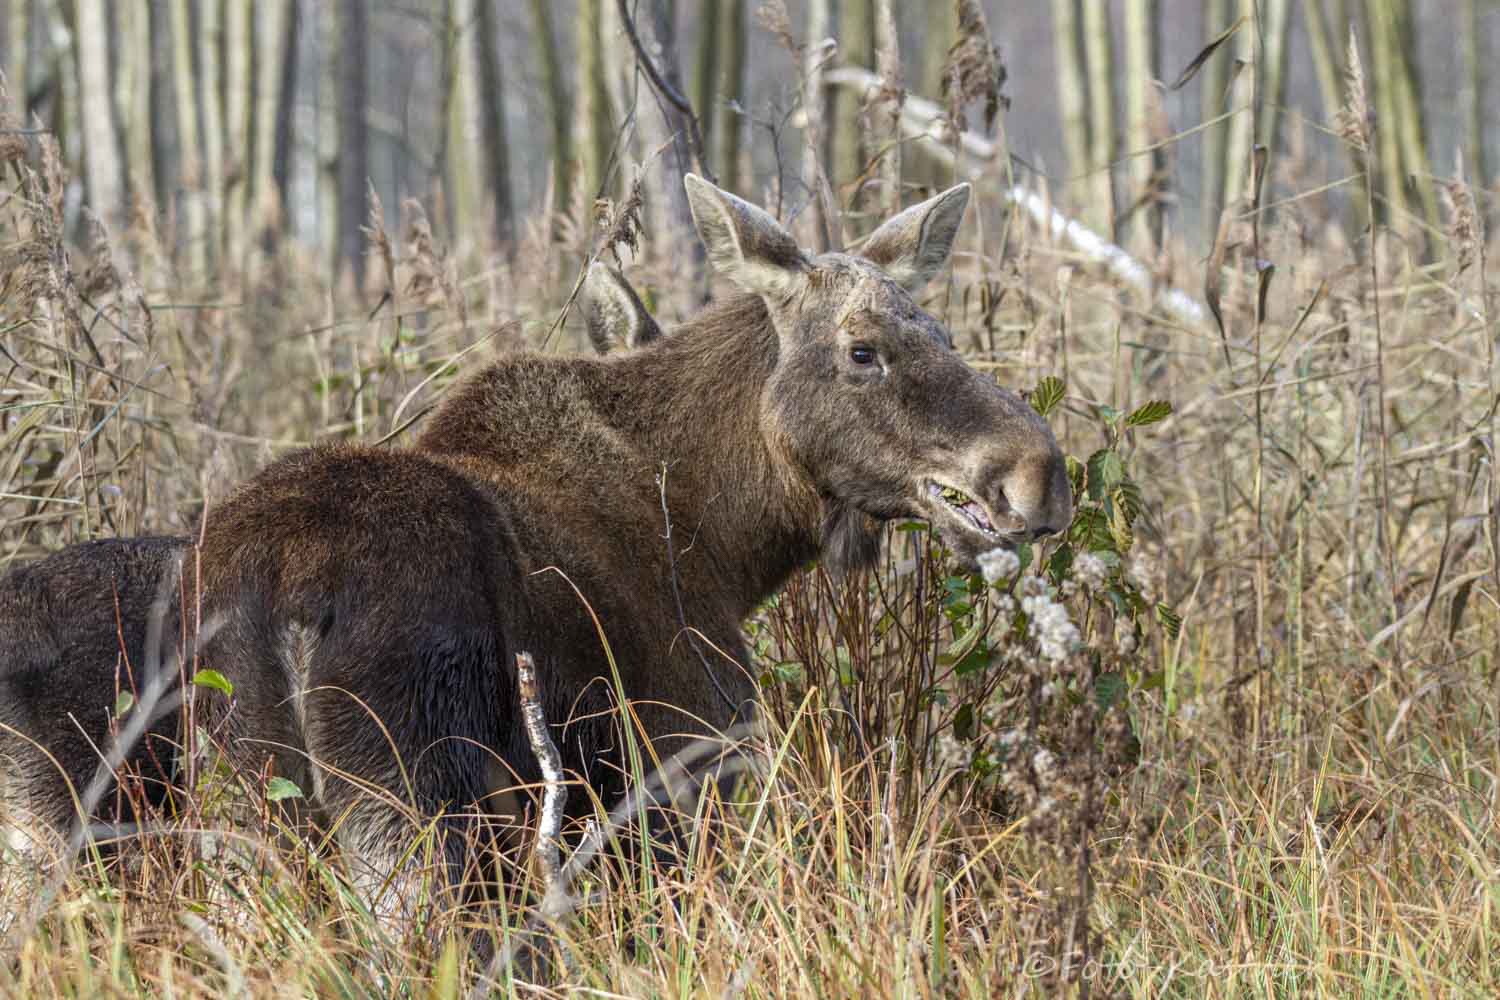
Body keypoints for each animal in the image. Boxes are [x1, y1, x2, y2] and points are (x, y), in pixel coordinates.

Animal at [0, 176, 1080, 917]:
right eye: (864, 349)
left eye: (943, 332)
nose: (1040, 472)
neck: (727, 540)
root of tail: (276, 595)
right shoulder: (680, 769)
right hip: (412, 818)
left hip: (235, 823)